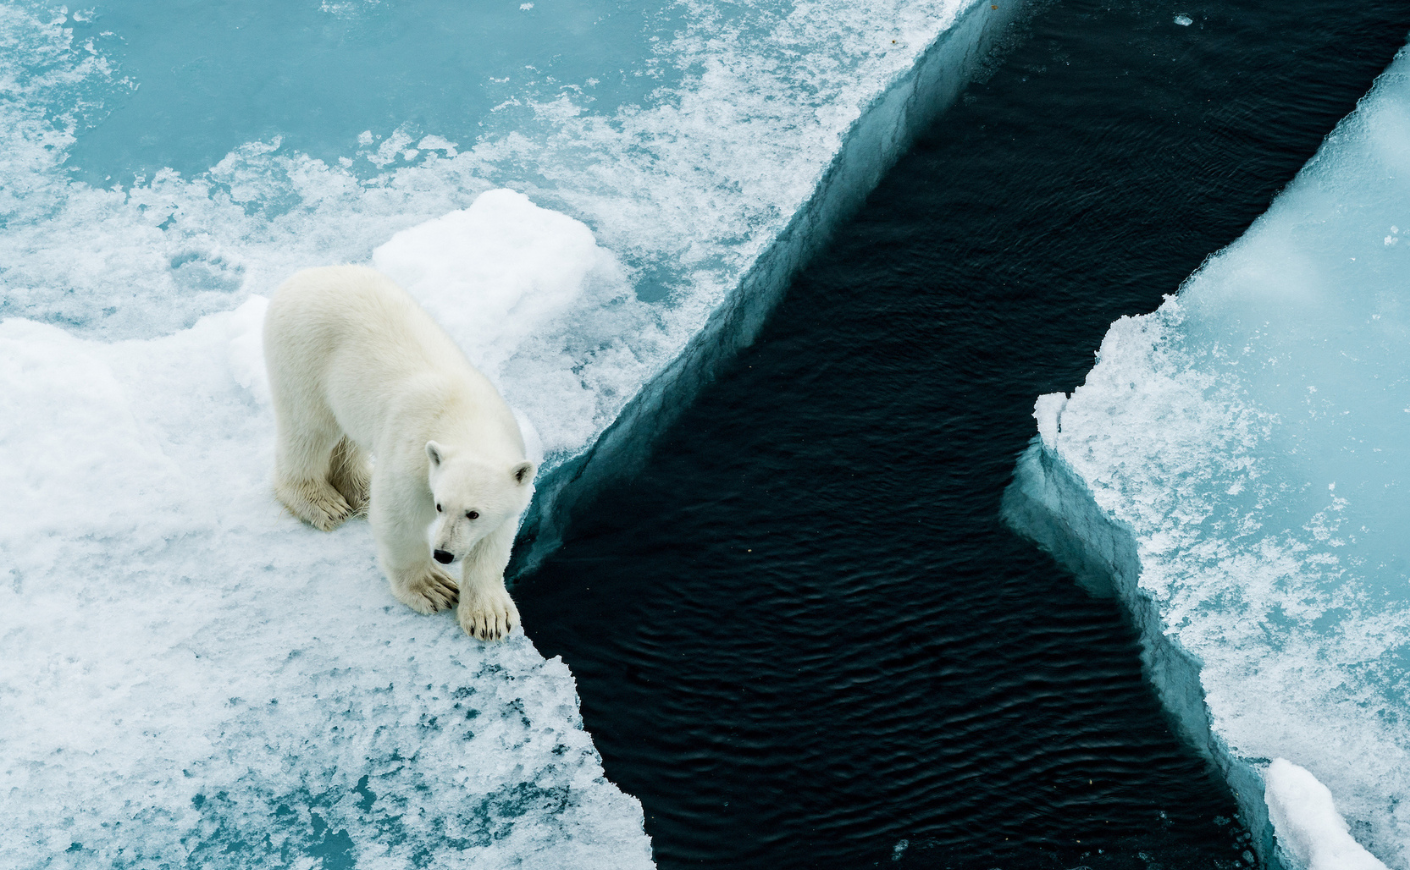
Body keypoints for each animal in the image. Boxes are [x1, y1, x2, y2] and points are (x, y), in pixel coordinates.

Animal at [263, 265, 535, 641]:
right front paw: (433, 588)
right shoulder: (412, 456)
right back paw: (323, 502)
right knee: (309, 429)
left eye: (474, 513)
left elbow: (494, 541)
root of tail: (303, 276)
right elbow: (400, 520)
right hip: (304, 353)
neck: (464, 415)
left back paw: (360, 490)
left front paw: (490, 617)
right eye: (440, 506)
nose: (443, 553)